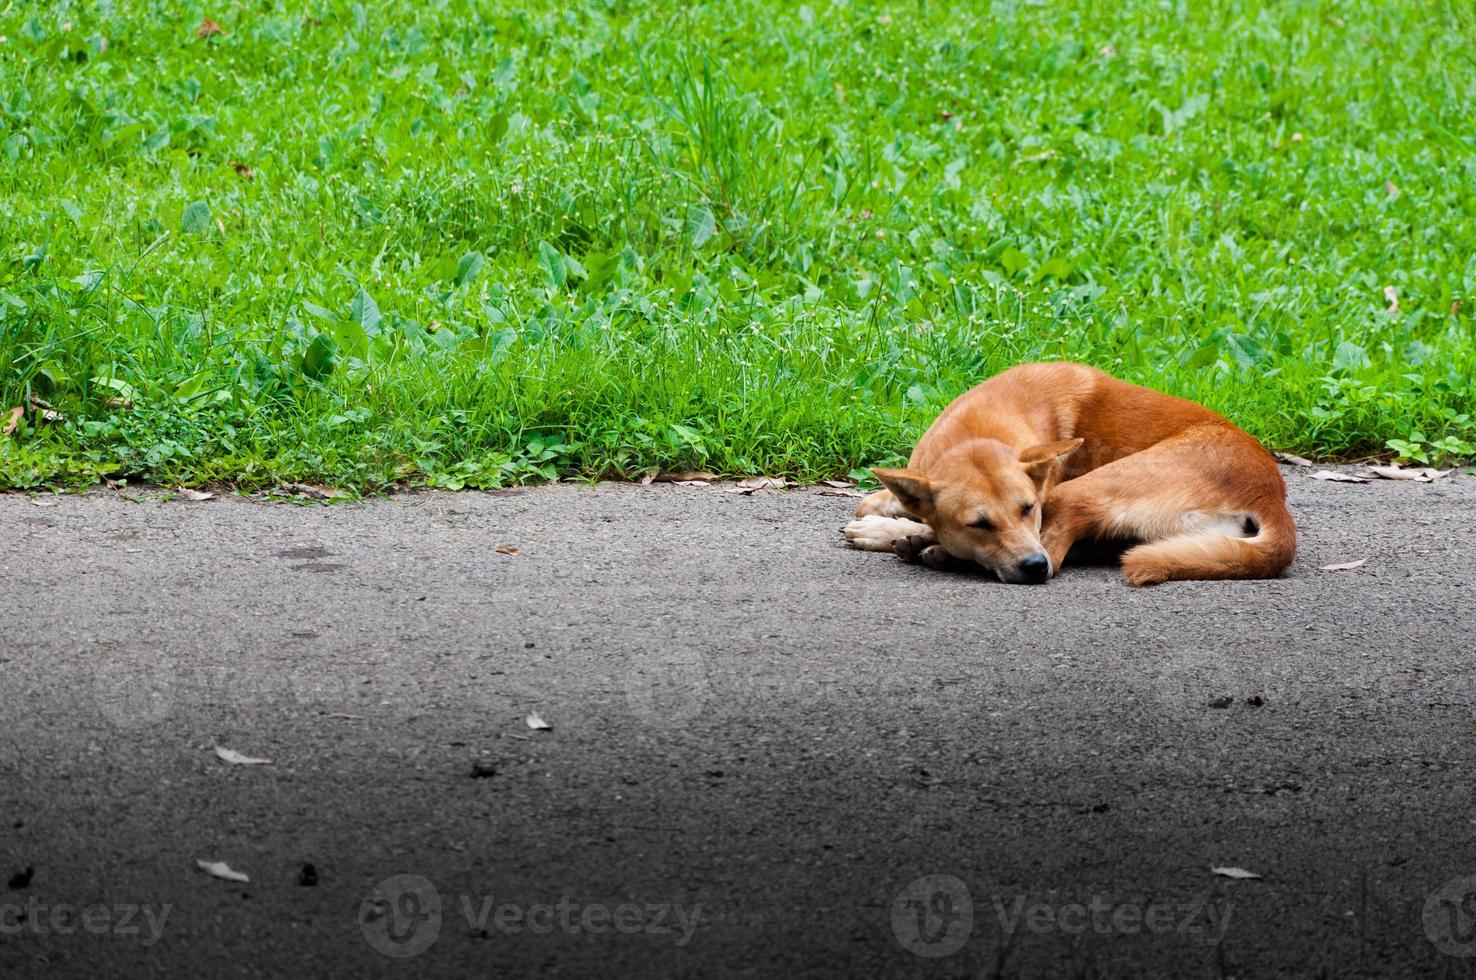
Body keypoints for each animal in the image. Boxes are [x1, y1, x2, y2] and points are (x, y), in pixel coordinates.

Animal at [844, 363, 1292, 584]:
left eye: (1028, 509)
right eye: (979, 524)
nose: (1032, 568)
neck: (979, 428)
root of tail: (1271, 494)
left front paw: (894, 532)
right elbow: (873, 500)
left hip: (1078, 491)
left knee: (1058, 552)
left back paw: (923, 547)